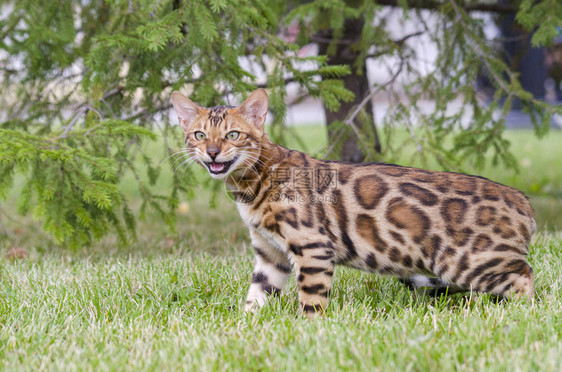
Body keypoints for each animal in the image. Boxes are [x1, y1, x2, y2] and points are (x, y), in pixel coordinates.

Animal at [170, 88, 532, 316]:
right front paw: (245, 329)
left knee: (525, 276)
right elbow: (256, 297)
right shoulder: (270, 254)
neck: (251, 185)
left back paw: (518, 313)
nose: (212, 152)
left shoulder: (313, 246)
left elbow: (312, 300)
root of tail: (524, 200)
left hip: (466, 261)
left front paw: (308, 331)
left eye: (233, 135)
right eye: (199, 135)